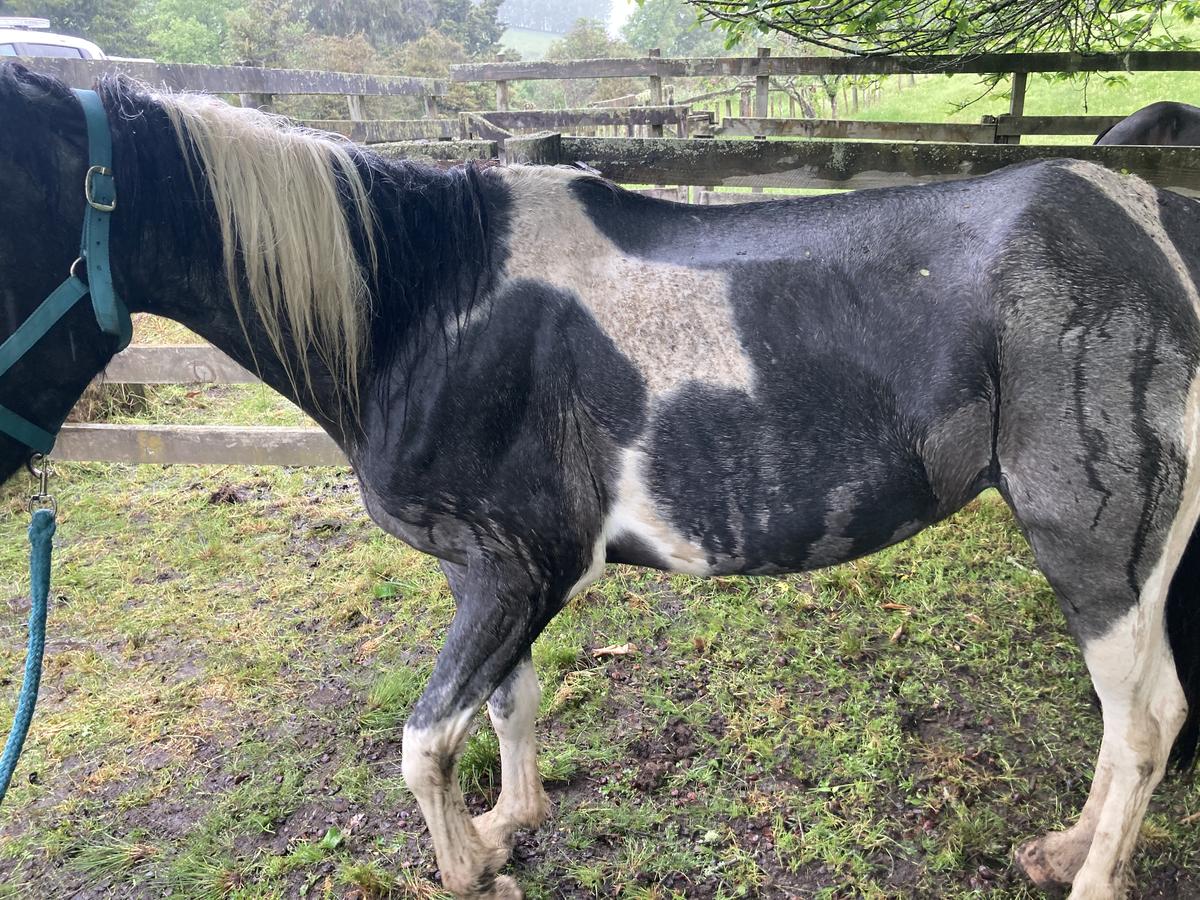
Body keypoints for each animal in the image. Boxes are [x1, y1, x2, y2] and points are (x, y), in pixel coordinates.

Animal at [1, 60, 1198, 899]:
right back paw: (1064, 850)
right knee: (1146, 713)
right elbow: (504, 704)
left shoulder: (524, 569)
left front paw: (468, 869)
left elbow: (424, 743)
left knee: (1139, 721)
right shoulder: (483, 573)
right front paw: (510, 825)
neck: (426, 307)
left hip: (1098, 544)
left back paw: (1090, 876)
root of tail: (1158, 228)